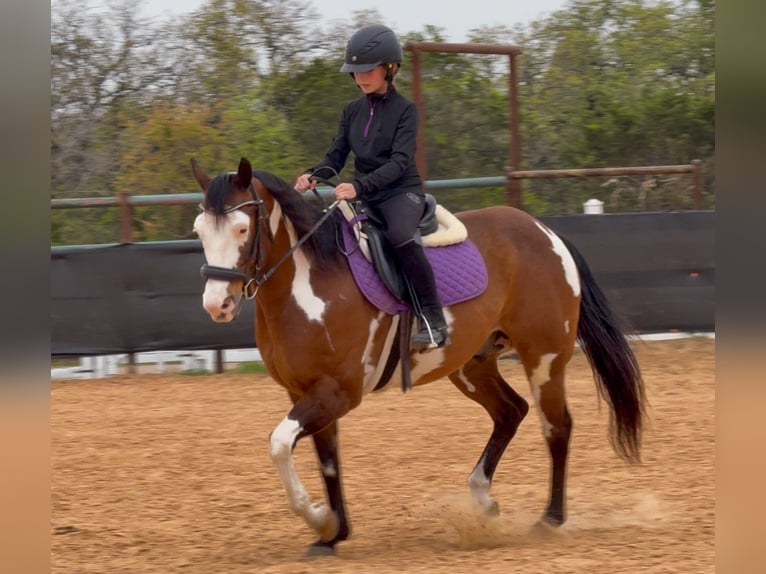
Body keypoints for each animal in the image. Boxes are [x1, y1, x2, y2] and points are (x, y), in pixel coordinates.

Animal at [190, 157, 645, 555]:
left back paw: (550, 519)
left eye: (242, 228)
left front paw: (319, 519)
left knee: (557, 427)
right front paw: (333, 535)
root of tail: (545, 232)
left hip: (545, 359)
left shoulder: (338, 392)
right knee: (511, 412)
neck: (308, 286)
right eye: (199, 231)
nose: (217, 304)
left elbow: (281, 444)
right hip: (471, 366)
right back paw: (483, 501)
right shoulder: (304, 392)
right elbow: (328, 461)